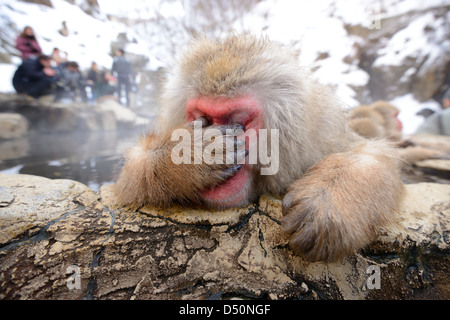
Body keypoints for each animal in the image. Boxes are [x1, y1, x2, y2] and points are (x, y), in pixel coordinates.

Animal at [114, 34, 406, 262]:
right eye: (203, 120)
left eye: (239, 122)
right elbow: (130, 178)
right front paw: (188, 154)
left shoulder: (322, 138)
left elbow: (370, 154)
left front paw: (328, 201)